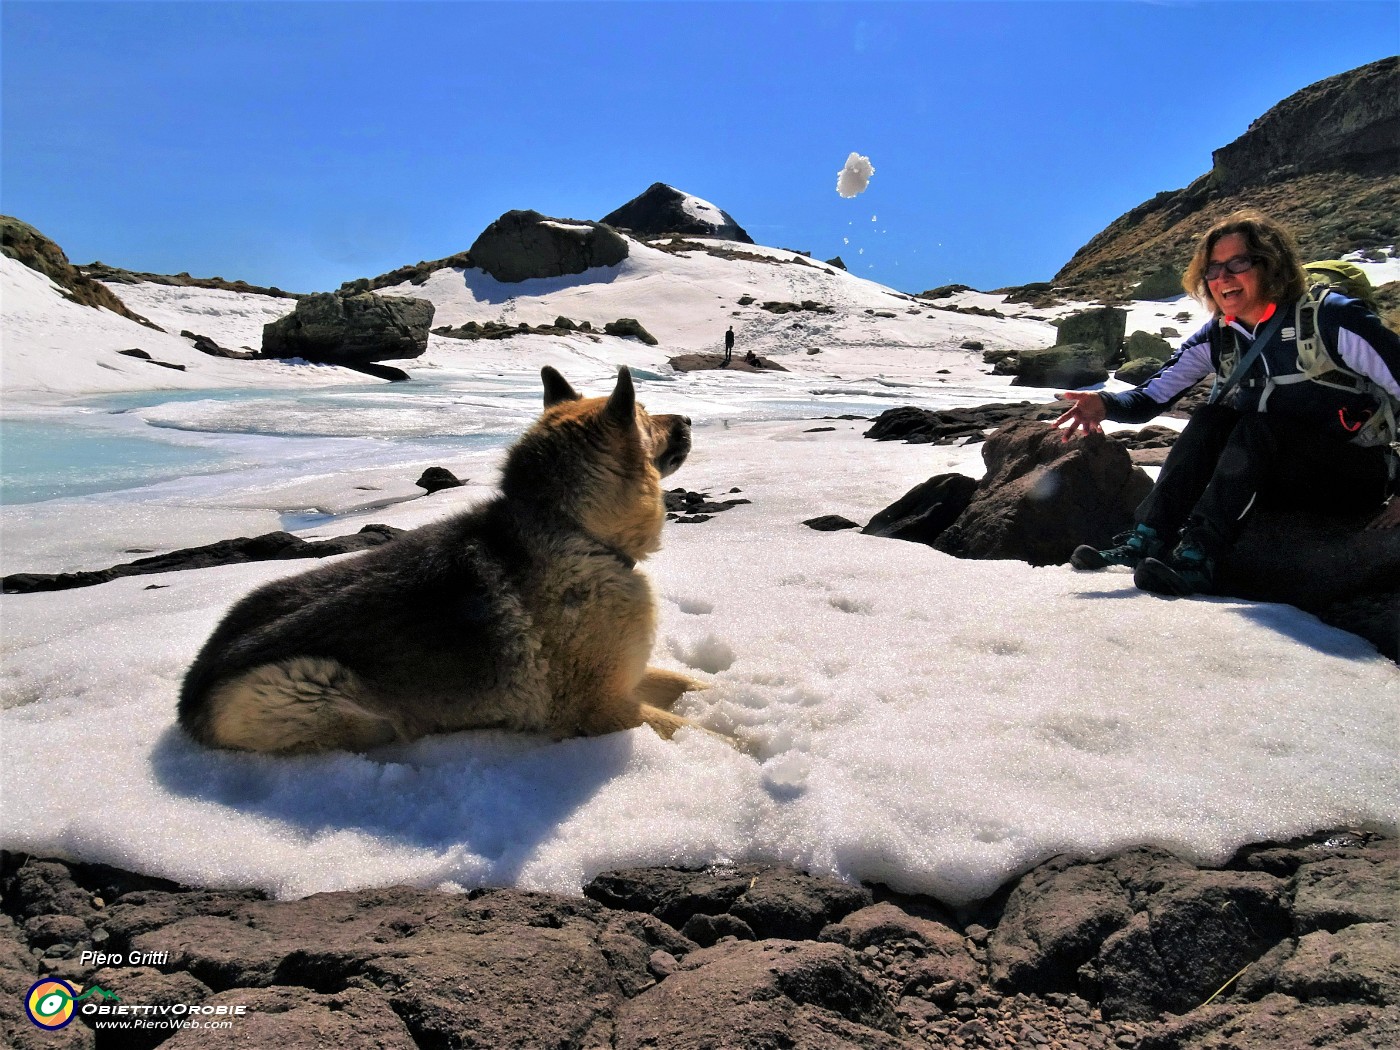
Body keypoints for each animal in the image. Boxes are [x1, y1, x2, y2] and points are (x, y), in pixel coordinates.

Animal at [180, 366, 711, 750]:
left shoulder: (630, 679)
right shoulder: (601, 708)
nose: (688, 419)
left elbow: (696, 686)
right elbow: (705, 733)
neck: (570, 528)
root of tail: (188, 699)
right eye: (646, 416)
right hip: (315, 694)